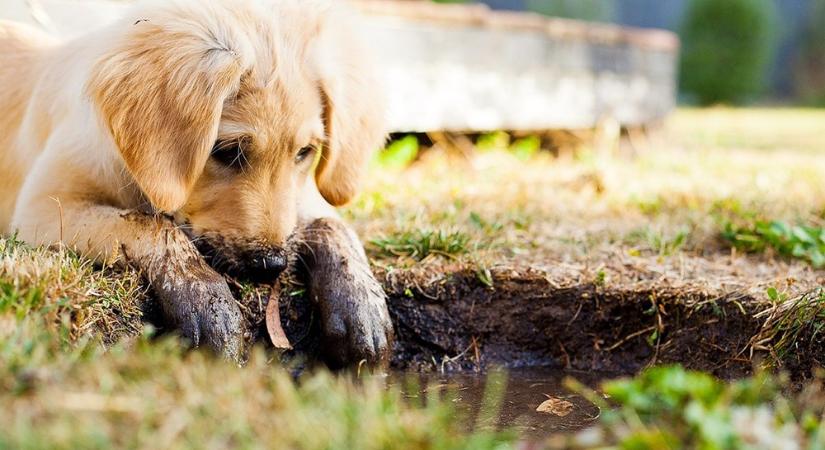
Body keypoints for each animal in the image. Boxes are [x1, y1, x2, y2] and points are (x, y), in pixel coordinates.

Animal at [0, 0, 392, 366]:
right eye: (228, 151)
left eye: (305, 152)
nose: (271, 266)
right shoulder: (42, 209)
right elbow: (151, 225)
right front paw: (205, 300)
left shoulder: (298, 199)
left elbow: (331, 223)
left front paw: (360, 302)